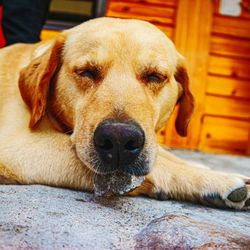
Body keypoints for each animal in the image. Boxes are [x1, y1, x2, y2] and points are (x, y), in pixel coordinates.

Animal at [0, 17, 249, 209]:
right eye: (86, 72)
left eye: (155, 76)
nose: (119, 139)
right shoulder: (17, 145)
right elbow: (160, 164)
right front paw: (216, 180)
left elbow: (162, 154)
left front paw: (201, 167)